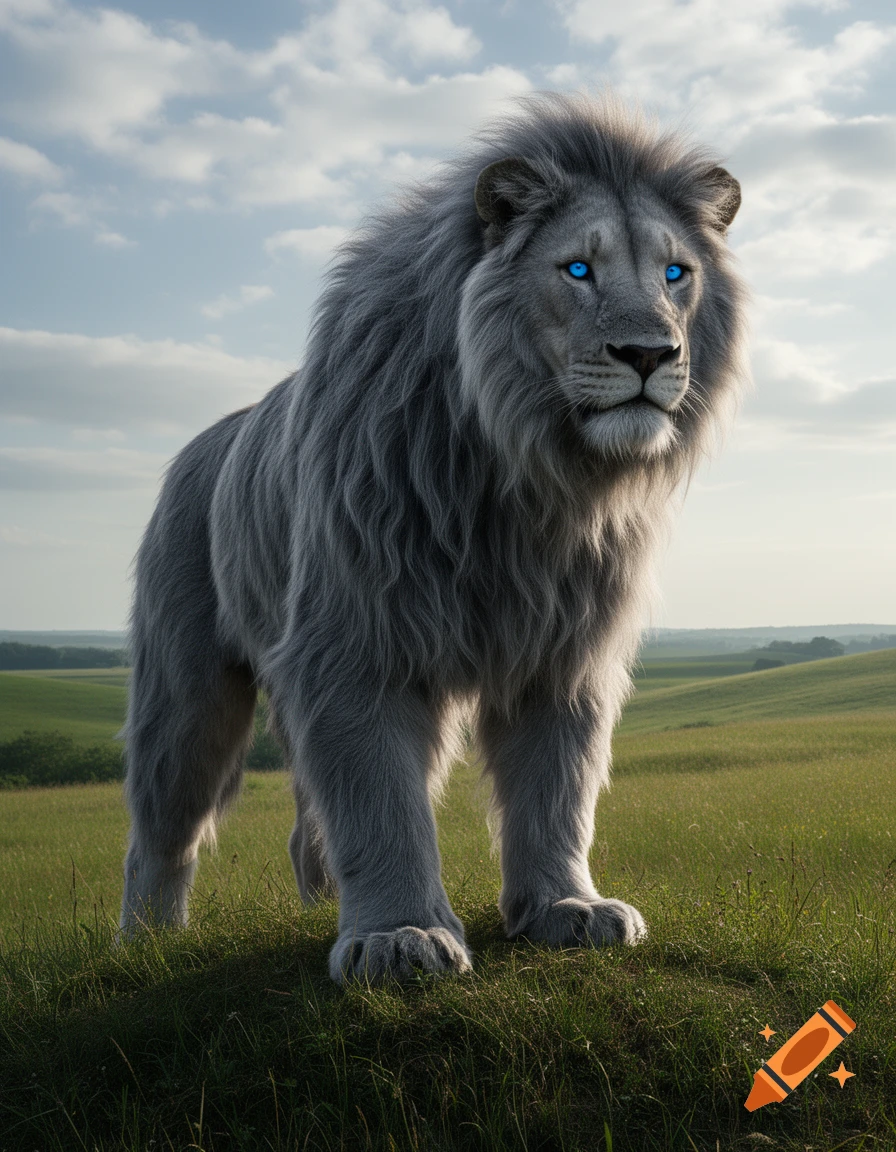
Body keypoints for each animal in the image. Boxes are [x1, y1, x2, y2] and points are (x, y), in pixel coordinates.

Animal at [120, 92, 748, 983]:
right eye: (578, 270)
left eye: (675, 273)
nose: (649, 354)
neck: (524, 472)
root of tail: (206, 441)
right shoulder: (354, 642)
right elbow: (380, 803)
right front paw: (399, 936)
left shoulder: (564, 653)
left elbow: (557, 790)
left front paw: (567, 909)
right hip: (186, 693)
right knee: (162, 831)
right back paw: (145, 945)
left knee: (305, 824)